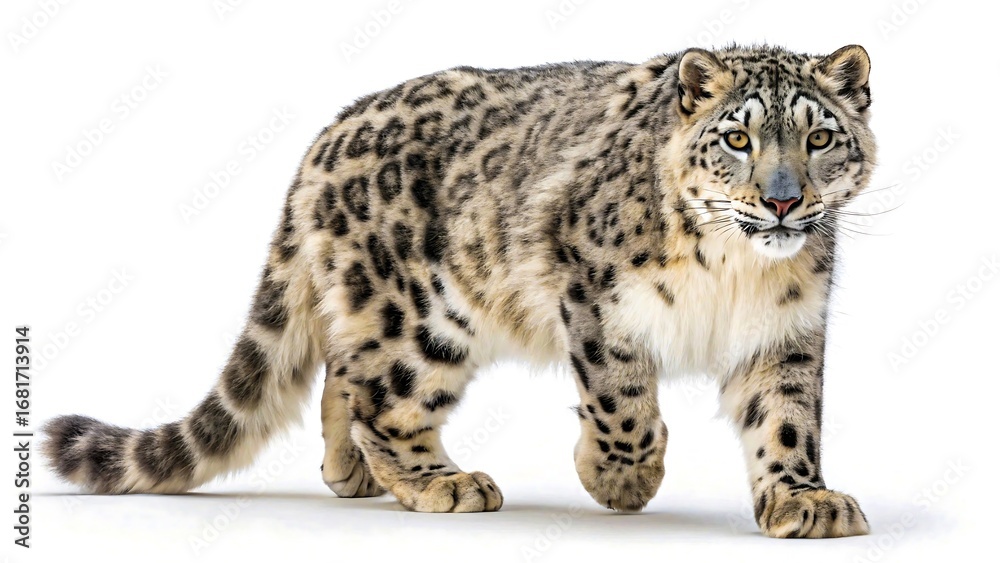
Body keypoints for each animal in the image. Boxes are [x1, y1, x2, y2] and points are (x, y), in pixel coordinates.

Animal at [43, 44, 876, 538]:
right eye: (737, 139)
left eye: (820, 137)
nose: (782, 202)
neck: (738, 270)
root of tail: (324, 139)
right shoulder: (594, 288)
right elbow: (621, 402)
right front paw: (621, 477)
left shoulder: (787, 328)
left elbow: (787, 417)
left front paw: (804, 498)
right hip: (420, 313)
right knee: (382, 392)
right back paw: (443, 481)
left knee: (343, 370)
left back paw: (350, 472)